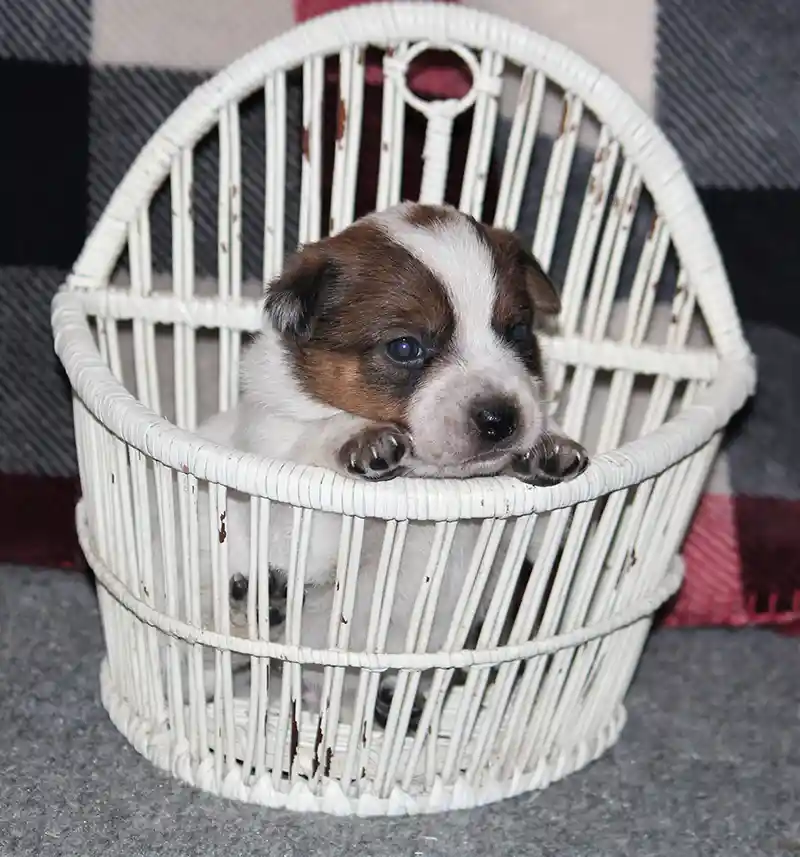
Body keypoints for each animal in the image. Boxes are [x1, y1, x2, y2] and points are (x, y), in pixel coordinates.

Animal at [164, 201, 588, 728]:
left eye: (518, 331)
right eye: (404, 347)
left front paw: (545, 445)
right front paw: (357, 437)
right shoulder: (298, 522)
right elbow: (320, 450)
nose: (501, 419)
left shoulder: (518, 542)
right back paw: (253, 613)